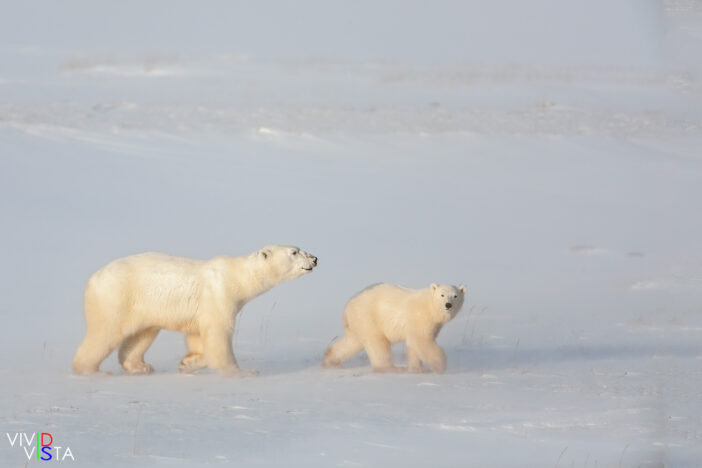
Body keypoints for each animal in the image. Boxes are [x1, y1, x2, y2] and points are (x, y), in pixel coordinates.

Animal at [73, 245, 317, 376]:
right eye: (294, 252)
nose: (315, 258)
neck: (238, 277)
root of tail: (92, 280)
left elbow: (197, 337)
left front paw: (187, 363)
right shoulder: (219, 296)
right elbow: (218, 336)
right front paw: (244, 372)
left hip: (143, 307)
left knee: (141, 335)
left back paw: (141, 367)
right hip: (115, 299)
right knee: (104, 334)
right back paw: (91, 370)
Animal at [323, 283, 466, 373]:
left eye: (455, 295)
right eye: (442, 295)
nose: (448, 305)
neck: (430, 307)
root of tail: (348, 306)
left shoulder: (432, 324)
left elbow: (414, 345)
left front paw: (418, 369)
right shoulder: (419, 318)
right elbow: (421, 340)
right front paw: (440, 366)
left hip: (359, 322)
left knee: (352, 342)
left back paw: (331, 361)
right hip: (369, 317)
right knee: (378, 344)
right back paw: (391, 368)